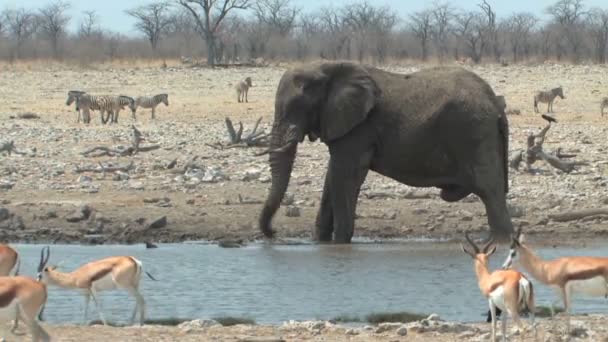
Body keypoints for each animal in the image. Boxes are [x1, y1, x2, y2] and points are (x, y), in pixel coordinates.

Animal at [258, 61, 512, 243]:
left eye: (296, 107)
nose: (274, 233)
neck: (326, 67)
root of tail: (495, 102)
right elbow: (333, 176)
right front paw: (320, 243)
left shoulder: (360, 127)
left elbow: (345, 176)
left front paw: (340, 244)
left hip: (473, 131)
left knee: (489, 189)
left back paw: (498, 242)